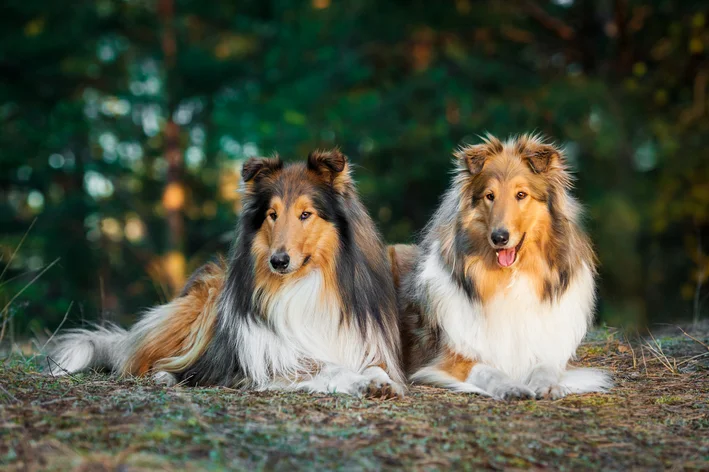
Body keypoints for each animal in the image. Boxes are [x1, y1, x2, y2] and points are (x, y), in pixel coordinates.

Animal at [49, 149, 404, 396]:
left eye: (306, 214)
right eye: (272, 214)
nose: (278, 261)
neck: (303, 285)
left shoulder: (363, 346)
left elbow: (374, 367)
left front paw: (379, 381)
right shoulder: (273, 362)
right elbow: (327, 367)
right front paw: (356, 381)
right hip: (196, 310)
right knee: (141, 360)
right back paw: (165, 374)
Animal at [398, 135, 608, 400]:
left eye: (521, 194)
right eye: (490, 196)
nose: (499, 238)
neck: (509, 278)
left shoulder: (551, 352)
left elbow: (545, 367)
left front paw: (548, 386)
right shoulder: (450, 356)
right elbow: (488, 370)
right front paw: (511, 386)